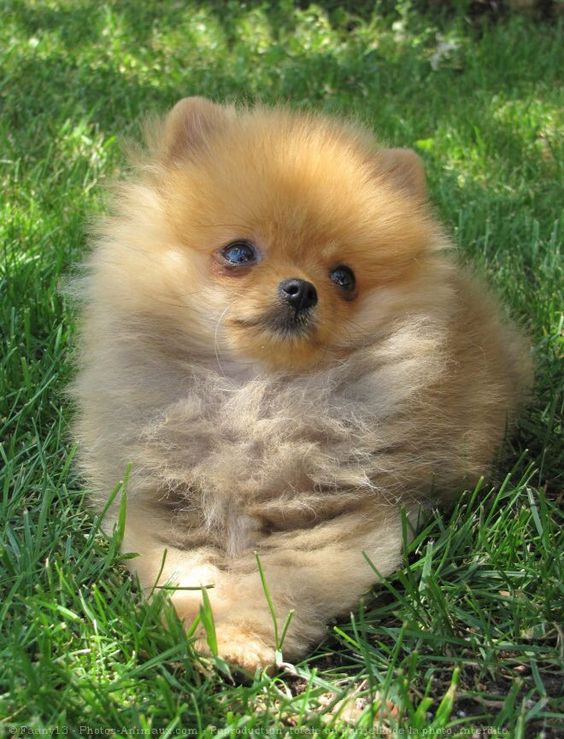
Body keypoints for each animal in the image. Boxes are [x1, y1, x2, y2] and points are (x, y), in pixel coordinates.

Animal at [71, 97, 532, 672]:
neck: (257, 396)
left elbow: (279, 582)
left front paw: (242, 638)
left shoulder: (329, 515)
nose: (300, 289)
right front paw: (205, 628)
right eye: (239, 253)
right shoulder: (167, 502)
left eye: (344, 278)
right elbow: (188, 571)